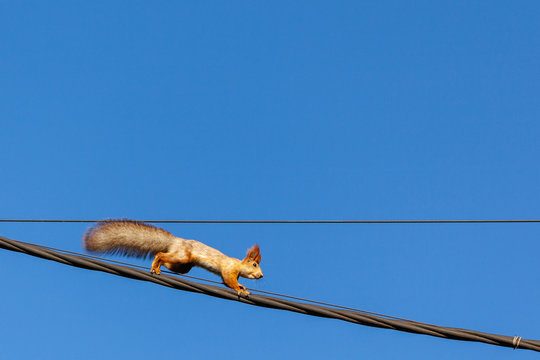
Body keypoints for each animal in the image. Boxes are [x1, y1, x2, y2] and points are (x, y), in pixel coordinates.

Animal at [81, 219, 264, 296]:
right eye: (254, 265)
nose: (261, 275)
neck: (238, 265)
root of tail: (176, 241)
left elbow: (227, 282)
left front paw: (243, 286)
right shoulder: (228, 268)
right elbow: (229, 280)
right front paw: (240, 289)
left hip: (182, 266)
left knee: (166, 261)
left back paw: (157, 267)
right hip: (182, 257)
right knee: (160, 254)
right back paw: (155, 266)